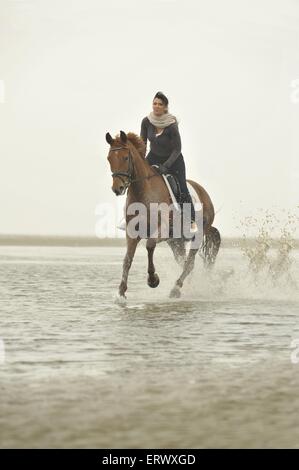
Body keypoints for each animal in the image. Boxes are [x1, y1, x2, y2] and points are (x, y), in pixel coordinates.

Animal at [105, 130, 220, 300]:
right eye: (109, 158)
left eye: (125, 157)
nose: (117, 189)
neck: (143, 191)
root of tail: (204, 193)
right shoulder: (132, 233)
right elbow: (127, 259)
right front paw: (121, 293)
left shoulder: (163, 231)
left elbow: (149, 245)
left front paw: (153, 280)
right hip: (176, 242)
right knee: (183, 261)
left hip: (197, 234)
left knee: (189, 263)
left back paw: (176, 289)